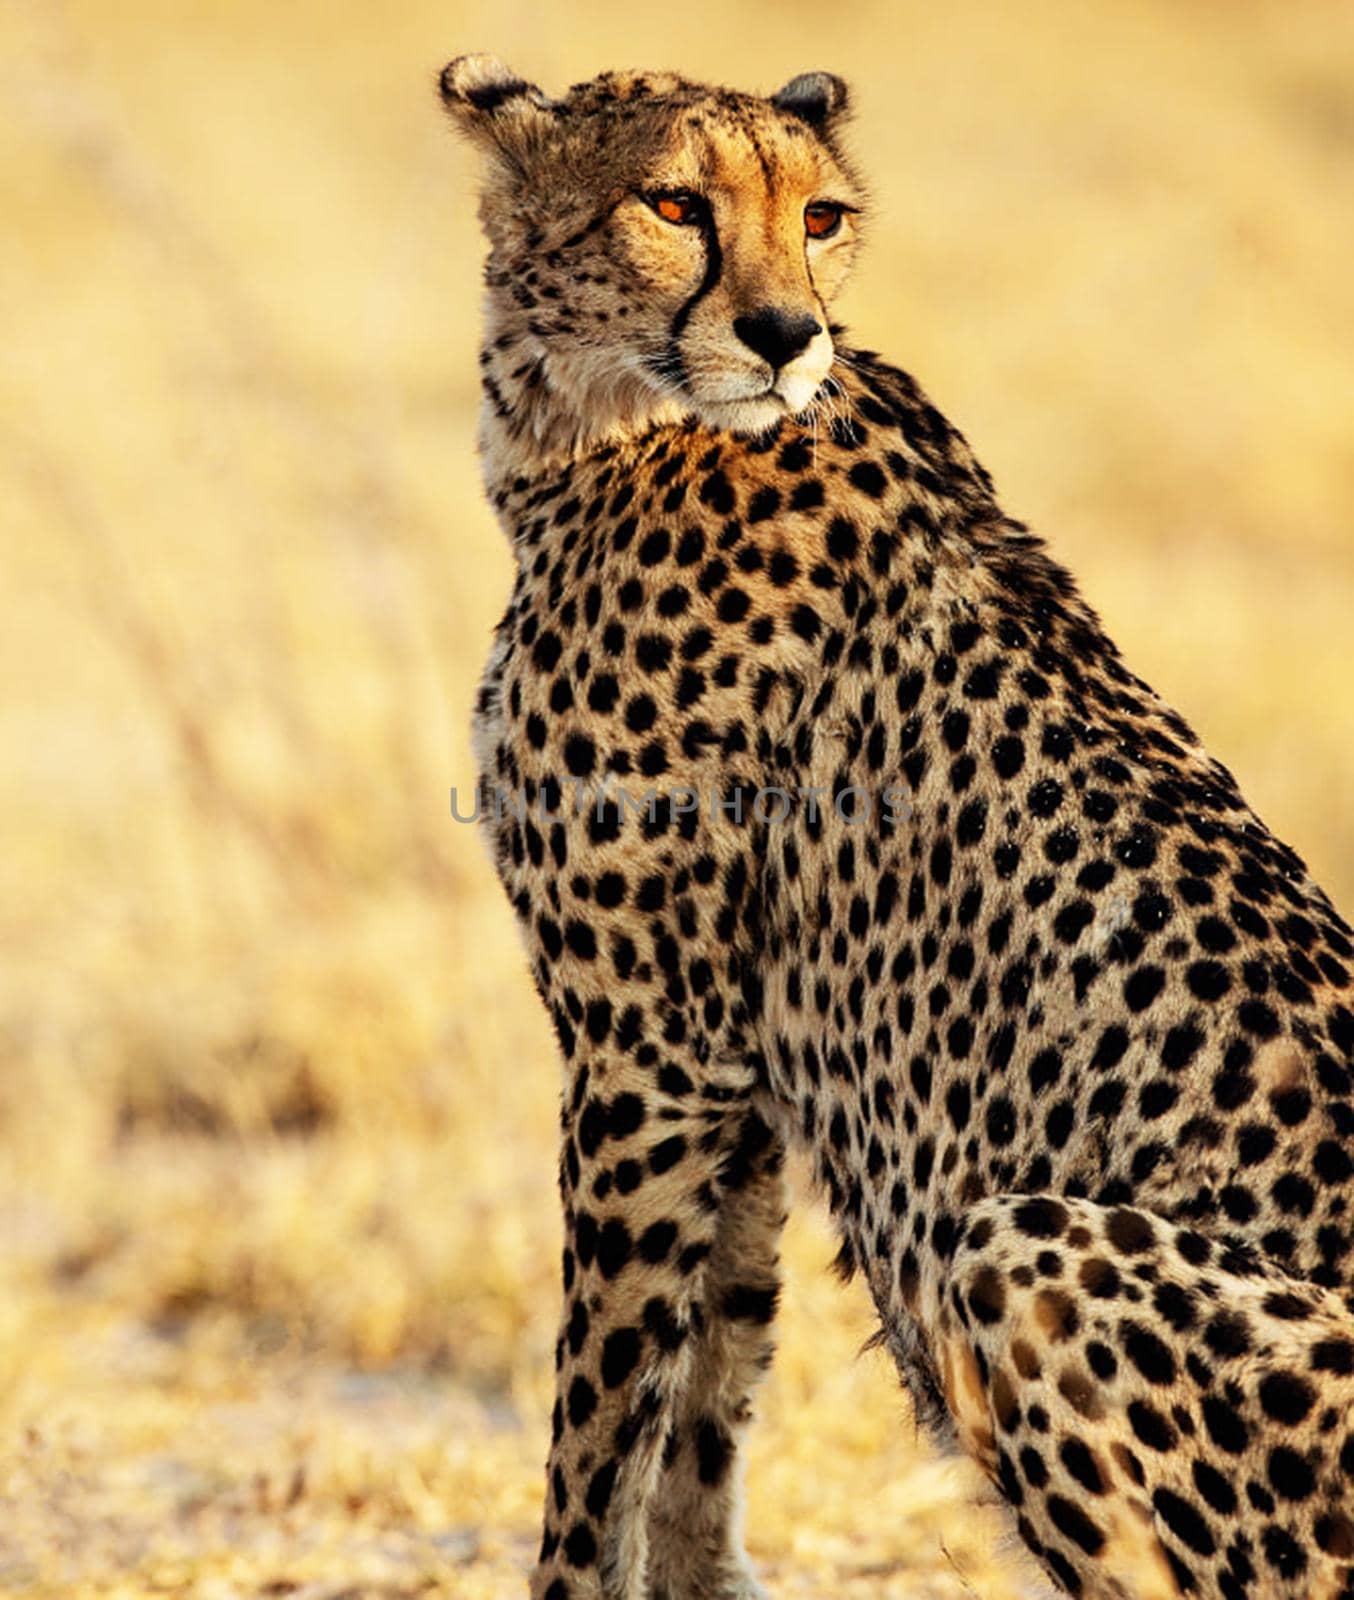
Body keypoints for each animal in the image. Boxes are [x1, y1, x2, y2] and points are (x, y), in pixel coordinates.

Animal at [441, 53, 1354, 1600]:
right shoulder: (735, 1065)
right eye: (674, 204)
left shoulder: (650, 1050)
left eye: (820, 216)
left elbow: (601, 1421)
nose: (783, 335)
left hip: (1018, 1244)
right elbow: (706, 1390)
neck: (606, 420)